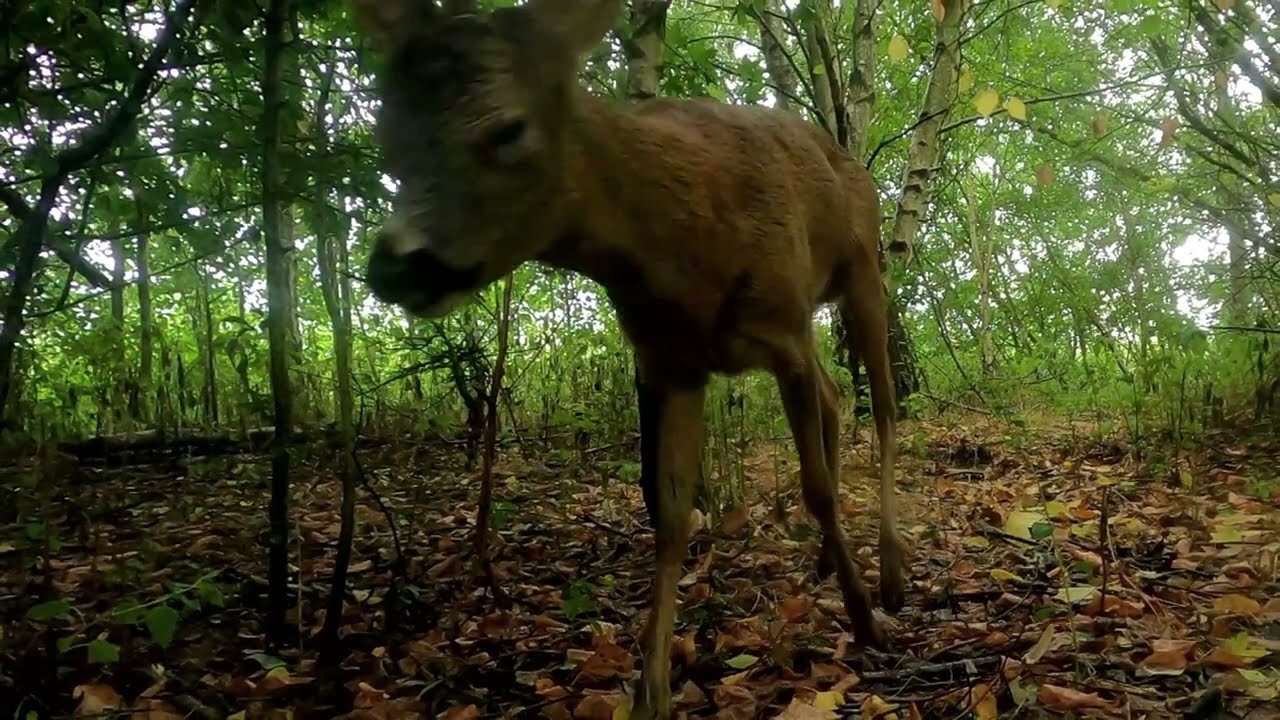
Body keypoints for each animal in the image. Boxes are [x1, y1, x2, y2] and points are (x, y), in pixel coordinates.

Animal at [348, 0, 908, 716]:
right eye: (387, 138)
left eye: (508, 128)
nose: (397, 265)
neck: (681, 248)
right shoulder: (672, 360)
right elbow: (667, 514)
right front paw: (651, 690)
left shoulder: (780, 330)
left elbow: (814, 488)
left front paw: (865, 619)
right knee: (838, 396)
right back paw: (826, 564)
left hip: (863, 268)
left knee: (885, 407)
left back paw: (889, 571)